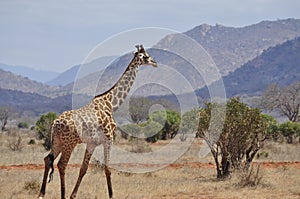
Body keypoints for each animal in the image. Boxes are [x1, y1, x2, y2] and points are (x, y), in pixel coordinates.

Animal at [37, 44, 157, 198]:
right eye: (146, 56)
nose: (155, 63)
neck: (111, 103)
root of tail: (54, 123)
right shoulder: (109, 140)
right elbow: (107, 169)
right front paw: (111, 195)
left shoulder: (92, 143)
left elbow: (83, 168)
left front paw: (73, 195)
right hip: (69, 143)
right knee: (61, 165)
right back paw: (61, 195)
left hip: (57, 141)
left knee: (48, 159)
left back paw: (41, 194)